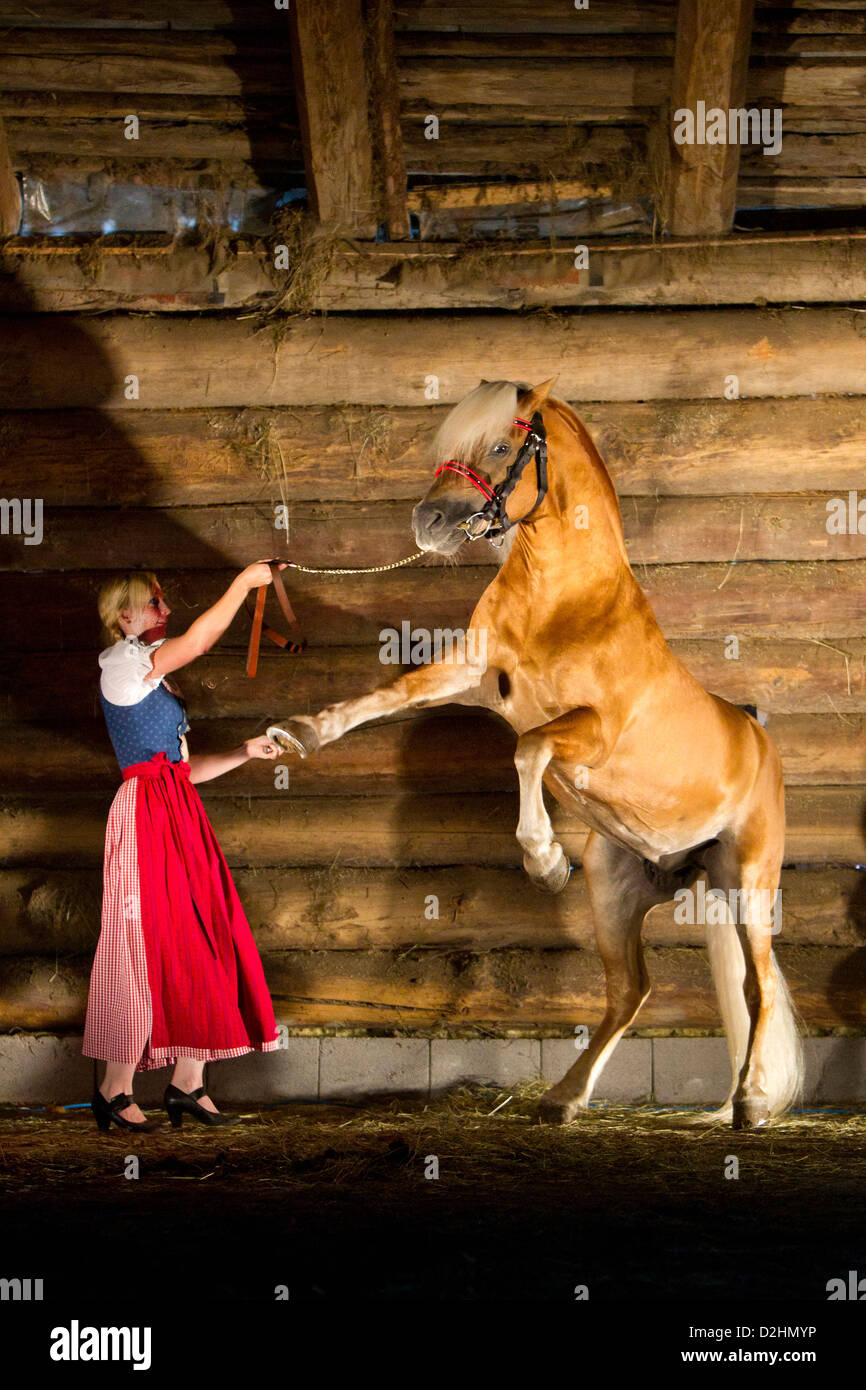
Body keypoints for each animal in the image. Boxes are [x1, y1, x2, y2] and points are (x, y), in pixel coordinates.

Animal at [272, 380, 806, 1128]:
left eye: (501, 446)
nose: (429, 521)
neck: (565, 602)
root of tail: (756, 734)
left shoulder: (591, 732)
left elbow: (529, 750)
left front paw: (544, 860)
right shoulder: (472, 674)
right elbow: (390, 694)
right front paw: (302, 733)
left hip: (750, 881)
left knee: (758, 987)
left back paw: (751, 1103)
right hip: (616, 887)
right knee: (630, 991)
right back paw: (563, 1098)